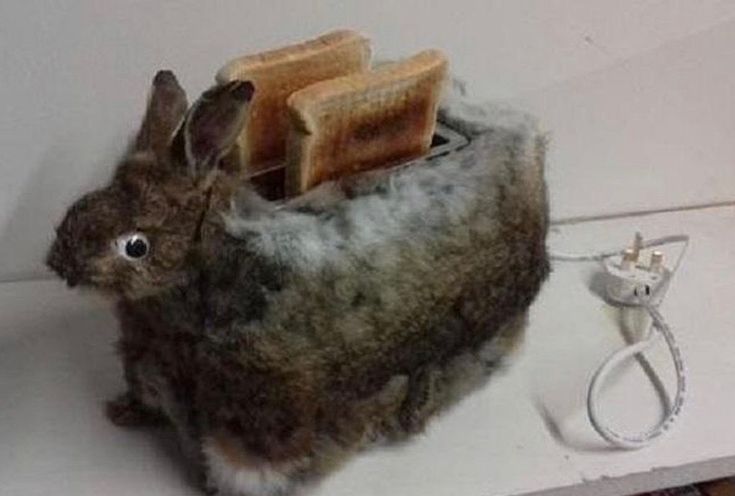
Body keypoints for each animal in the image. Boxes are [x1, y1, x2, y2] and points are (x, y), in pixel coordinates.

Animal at [46, 70, 548, 496]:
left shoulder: (256, 423)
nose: (57, 264)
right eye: (88, 200)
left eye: (135, 246)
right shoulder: (144, 356)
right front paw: (122, 412)